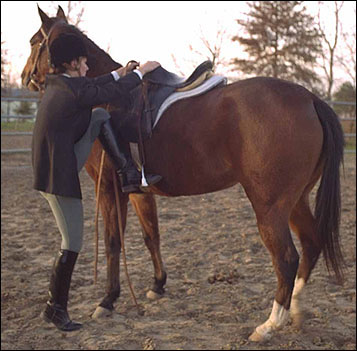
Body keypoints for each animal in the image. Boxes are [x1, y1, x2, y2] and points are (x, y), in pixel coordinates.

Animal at [22, 4, 344, 340]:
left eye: (33, 42)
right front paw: (157, 285)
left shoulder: (110, 190)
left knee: (286, 258)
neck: (107, 94)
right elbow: (152, 235)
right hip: (295, 201)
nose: (24, 77)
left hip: (270, 206)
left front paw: (108, 300)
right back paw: (295, 309)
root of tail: (310, 99)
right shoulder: (138, 191)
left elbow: (113, 243)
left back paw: (269, 325)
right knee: (311, 242)